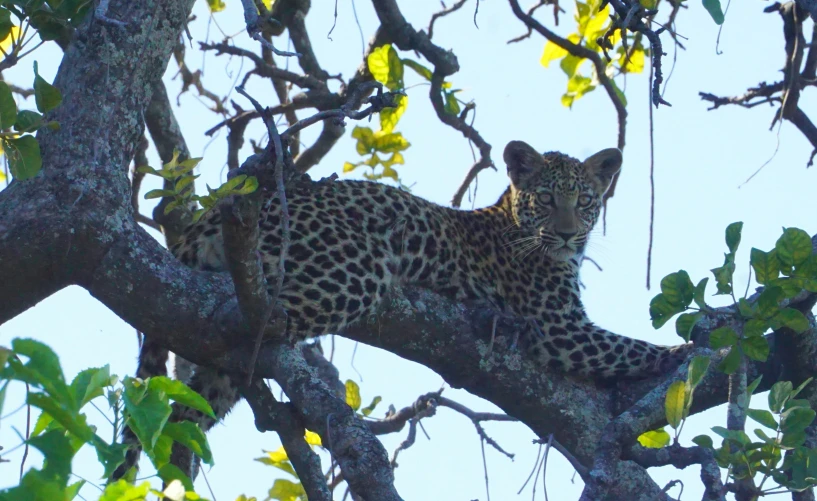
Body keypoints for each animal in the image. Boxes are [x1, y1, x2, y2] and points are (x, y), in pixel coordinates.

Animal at [113, 140, 688, 480]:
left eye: (586, 200)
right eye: (547, 200)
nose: (570, 234)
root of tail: (208, 218)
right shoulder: (561, 327)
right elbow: (633, 347)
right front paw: (689, 349)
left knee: (189, 399)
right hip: (352, 271)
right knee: (248, 326)